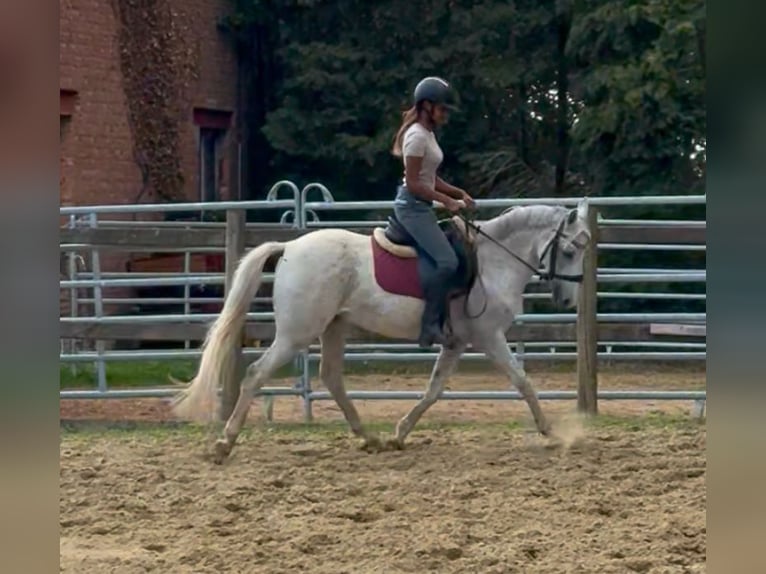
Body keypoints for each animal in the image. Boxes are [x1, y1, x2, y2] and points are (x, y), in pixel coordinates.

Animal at [172, 200, 593, 463]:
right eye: (570, 251)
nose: (567, 299)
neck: (493, 262)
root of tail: (289, 247)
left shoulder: (456, 343)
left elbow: (433, 391)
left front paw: (398, 433)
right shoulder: (488, 338)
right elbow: (522, 382)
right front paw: (552, 432)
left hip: (333, 328)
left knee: (332, 378)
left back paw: (368, 437)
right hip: (297, 334)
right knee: (257, 374)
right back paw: (224, 443)